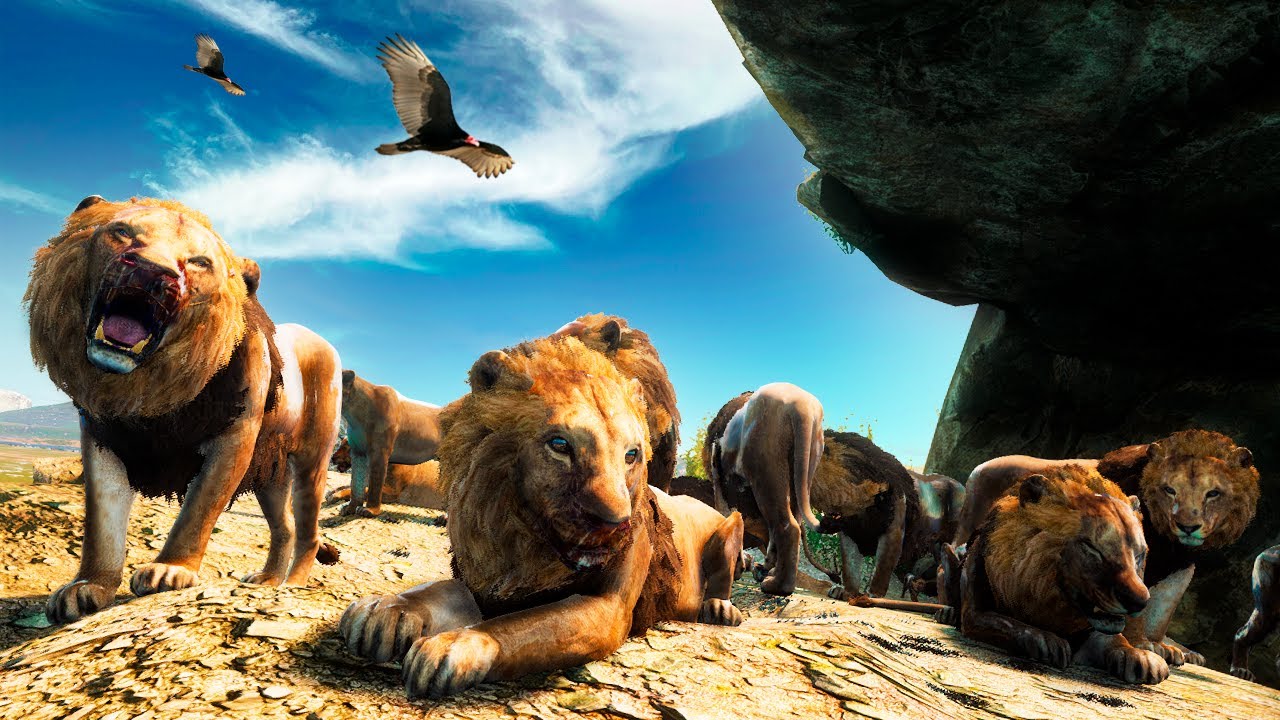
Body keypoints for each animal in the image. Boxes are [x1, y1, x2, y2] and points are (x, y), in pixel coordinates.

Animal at [25, 195, 341, 623]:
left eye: (198, 262)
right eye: (121, 232)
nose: (150, 271)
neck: (148, 390)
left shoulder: (235, 436)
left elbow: (198, 510)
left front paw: (170, 570)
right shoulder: (101, 438)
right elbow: (102, 523)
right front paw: (88, 586)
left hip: (312, 458)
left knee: (307, 531)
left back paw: (292, 584)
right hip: (271, 470)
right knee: (285, 528)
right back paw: (268, 581)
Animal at [334, 370, 442, 517]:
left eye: (345, 447)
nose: (332, 458)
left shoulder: (389, 480)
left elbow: (371, 487)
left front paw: (369, 510)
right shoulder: (358, 452)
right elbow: (354, 485)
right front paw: (348, 506)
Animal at [704, 384, 823, 596]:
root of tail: (803, 409)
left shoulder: (719, 479)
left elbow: (726, 514)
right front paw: (756, 567)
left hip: (765, 469)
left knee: (787, 526)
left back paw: (777, 587)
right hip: (803, 467)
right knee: (789, 522)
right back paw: (771, 575)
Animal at [959, 465, 1168, 684]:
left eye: (1139, 555)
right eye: (1093, 549)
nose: (1139, 601)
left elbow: (1114, 639)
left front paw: (1140, 657)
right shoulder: (974, 615)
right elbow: (1008, 623)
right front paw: (1047, 640)